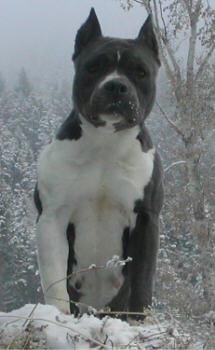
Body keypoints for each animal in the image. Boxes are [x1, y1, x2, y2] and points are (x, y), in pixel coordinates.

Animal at [34, 7, 163, 318]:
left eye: (140, 72)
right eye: (94, 67)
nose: (116, 85)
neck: (106, 143)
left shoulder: (146, 219)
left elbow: (142, 278)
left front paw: (139, 319)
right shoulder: (53, 217)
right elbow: (55, 280)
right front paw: (58, 316)